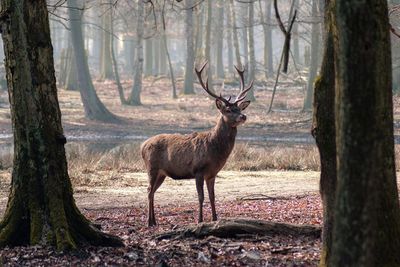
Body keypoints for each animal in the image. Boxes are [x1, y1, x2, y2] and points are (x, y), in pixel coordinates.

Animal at [141, 62, 253, 226]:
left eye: (239, 108)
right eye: (228, 109)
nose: (243, 116)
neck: (214, 150)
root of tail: (142, 146)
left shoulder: (212, 174)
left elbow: (213, 196)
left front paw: (215, 218)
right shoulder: (198, 170)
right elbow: (201, 197)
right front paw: (200, 220)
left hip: (162, 173)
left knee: (152, 191)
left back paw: (154, 221)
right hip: (152, 167)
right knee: (148, 190)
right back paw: (149, 222)